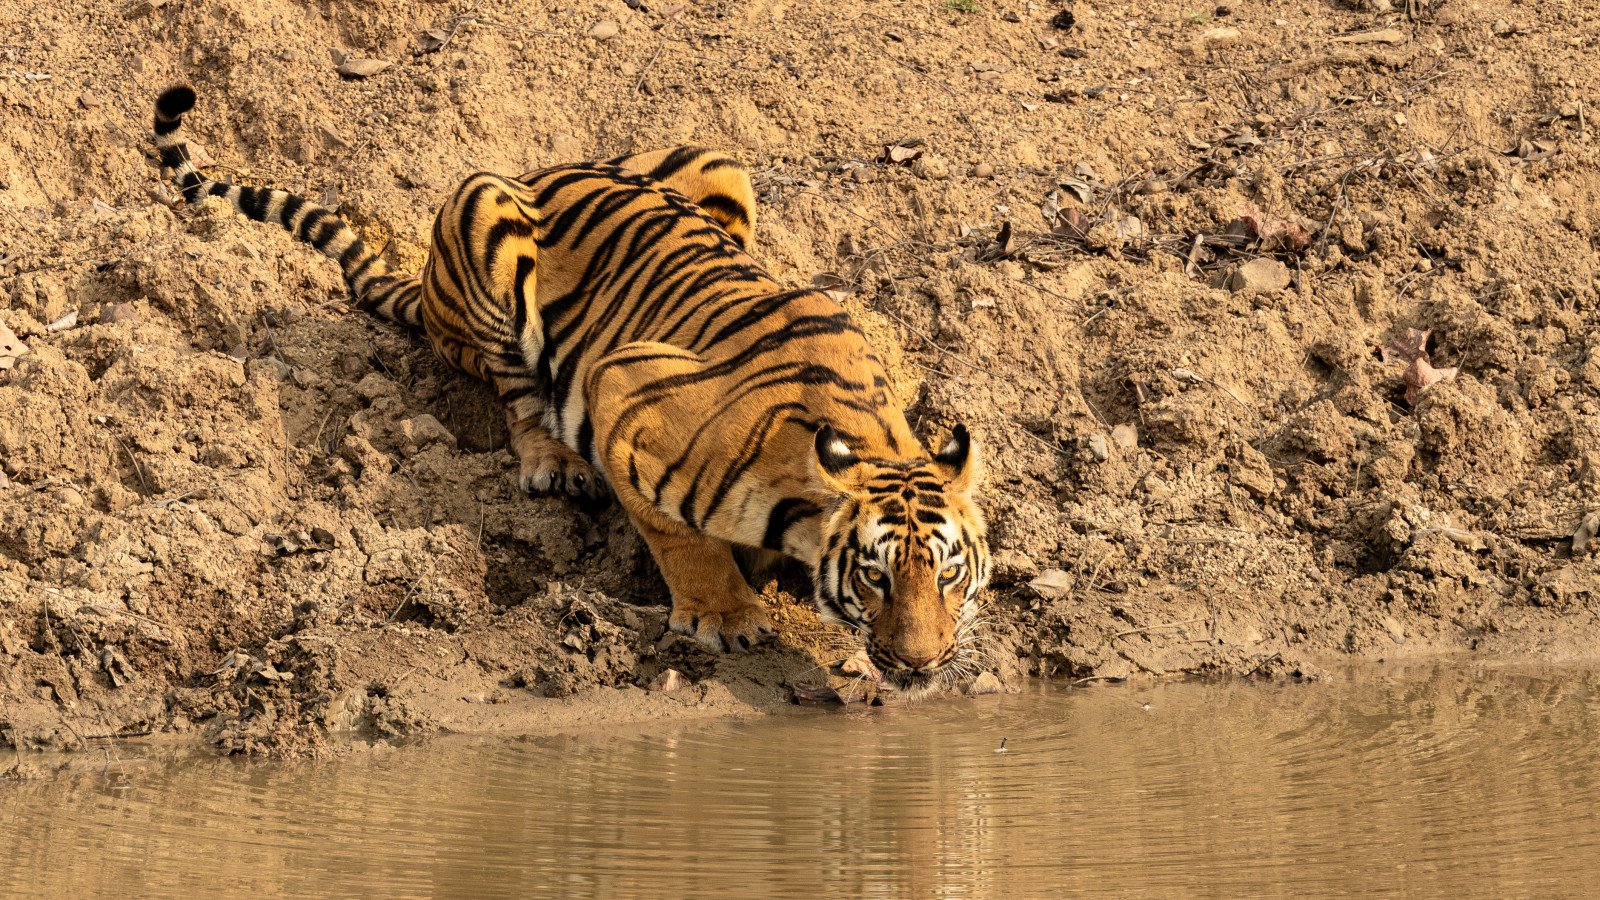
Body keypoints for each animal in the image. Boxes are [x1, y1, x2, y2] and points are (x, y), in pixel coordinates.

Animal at [156, 84, 992, 688]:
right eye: (876, 577)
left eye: (949, 574)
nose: (922, 662)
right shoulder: (625, 389)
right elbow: (677, 534)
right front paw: (725, 614)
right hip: (480, 213)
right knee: (518, 394)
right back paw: (555, 465)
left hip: (719, 162)